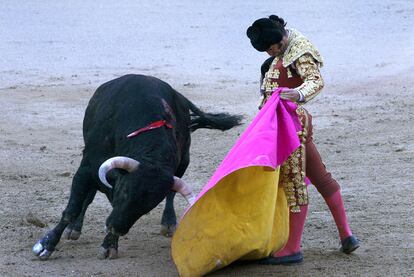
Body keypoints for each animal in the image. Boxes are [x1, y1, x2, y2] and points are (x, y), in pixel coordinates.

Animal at [33, 73, 243, 258]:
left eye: (149, 205)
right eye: (125, 191)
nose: (117, 226)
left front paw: (110, 244)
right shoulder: (87, 167)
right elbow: (72, 209)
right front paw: (46, 245)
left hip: (185, 159)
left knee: (171, 194)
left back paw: (168, 223)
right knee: (88, 197)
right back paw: (74, 228)